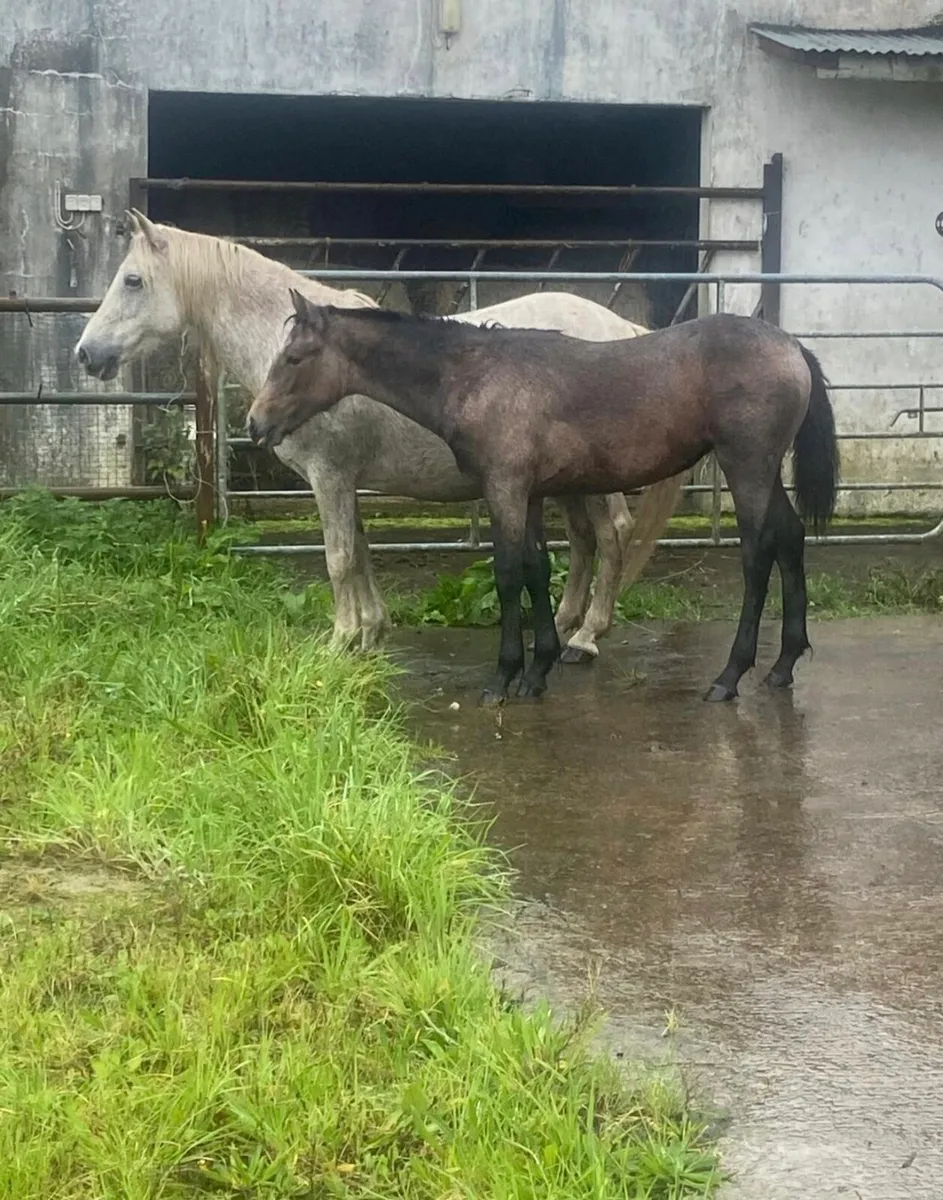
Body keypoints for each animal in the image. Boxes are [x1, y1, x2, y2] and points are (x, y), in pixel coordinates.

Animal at [75, 213, 686, 662]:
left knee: (613, 535)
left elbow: (339, 558)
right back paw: (562, 623)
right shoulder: (344, 481)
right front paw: (371, 632)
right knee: (583, 541)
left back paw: (586, 637)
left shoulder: (329, 476)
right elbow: (362, 552)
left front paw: (340, 641)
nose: (85, 354)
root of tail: (621, 327)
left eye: (132, 280)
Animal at [249, 291, 840, 706]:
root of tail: (791, 346)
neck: (478, 379)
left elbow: (509, 573)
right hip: (764, 472)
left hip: (747, 467)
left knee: (758, 555)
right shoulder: (529, 494)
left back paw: (729, 676)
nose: (257, 424)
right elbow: (537, 569)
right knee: (790, 538)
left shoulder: (504, 489)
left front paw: (503, 677)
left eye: (296, 357)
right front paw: (537, 671)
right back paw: (783, 666)